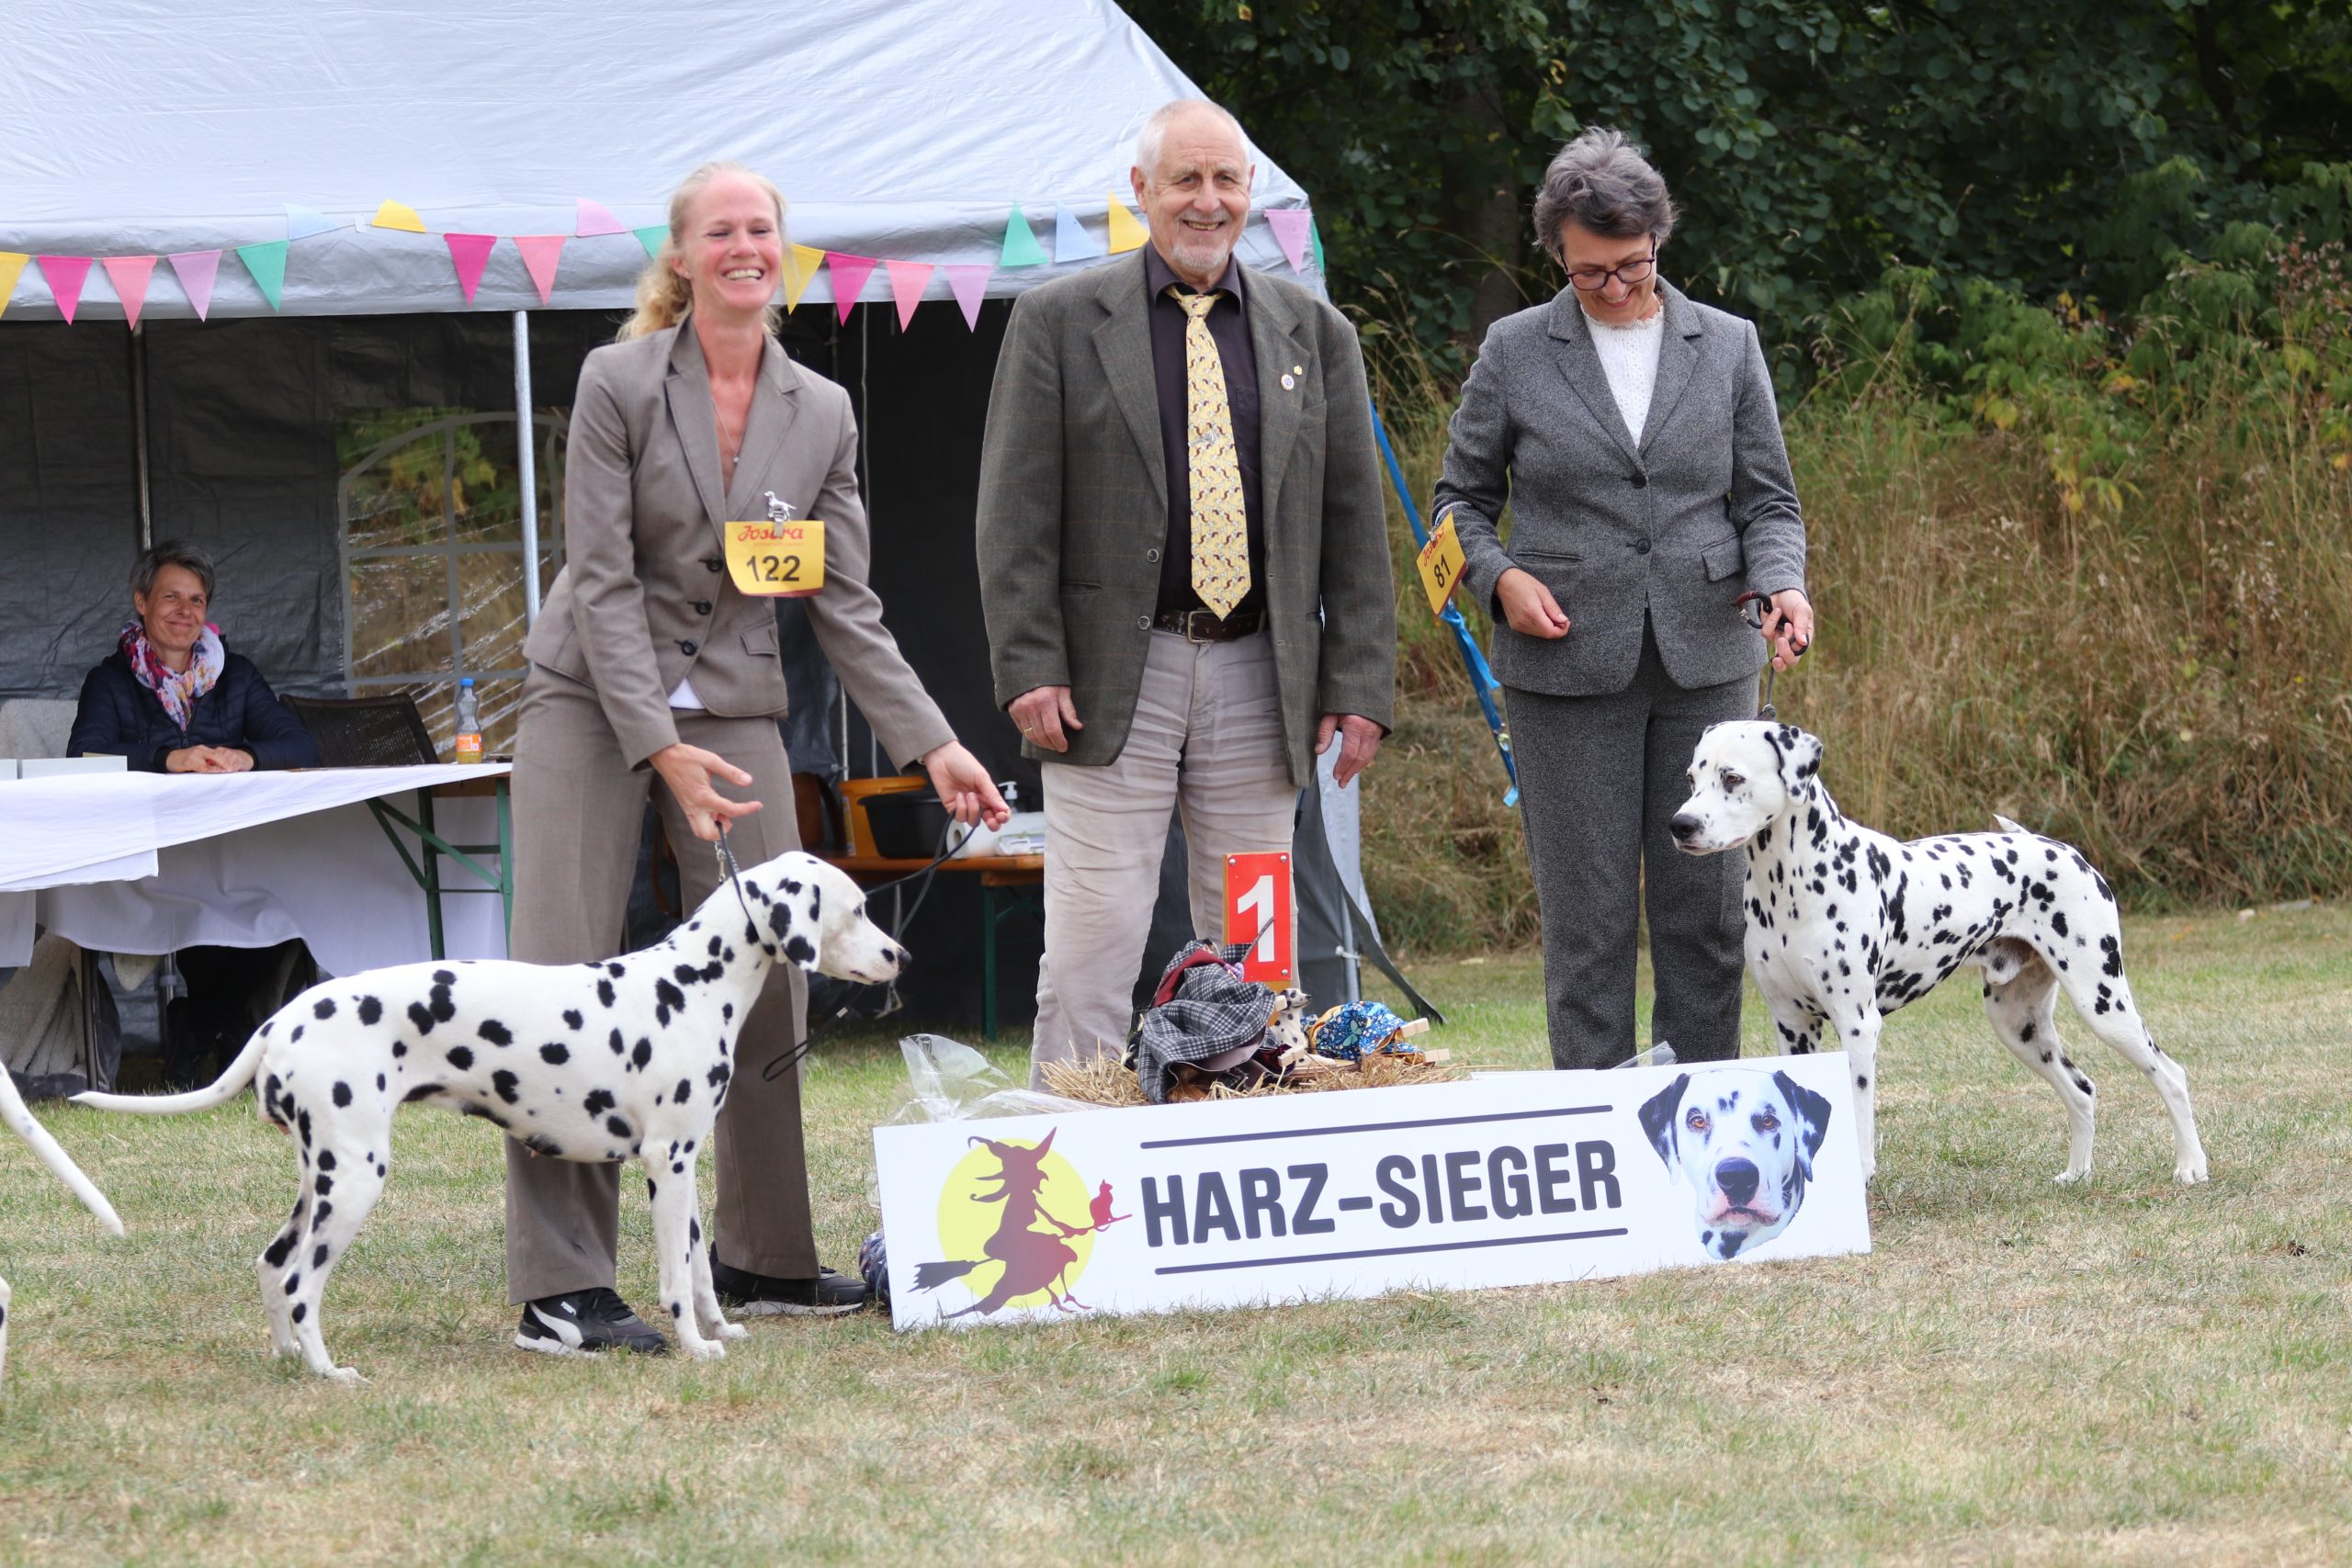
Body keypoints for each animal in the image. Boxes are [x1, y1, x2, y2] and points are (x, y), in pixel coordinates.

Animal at [75, 851, 903, 1381]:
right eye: (857, 907)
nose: (902, 954)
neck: (691, 982)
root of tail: (284, 1017)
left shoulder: (686, 1165)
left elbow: (699, 1265)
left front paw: (721, 1327)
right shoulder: (666, 1162)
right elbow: (674, 1275)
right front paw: (696, 1348)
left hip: (319, 1180)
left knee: (273, 1266)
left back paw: (285, 1361)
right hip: (356, 1180)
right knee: (303, 1282)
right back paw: (327, 1370)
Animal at [1671, 721, 2208, 1188]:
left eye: (1733, 777)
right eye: (1692, 777)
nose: (1681, 824)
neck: (1789, 883)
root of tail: (2065, 851)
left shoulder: (1857, 1026)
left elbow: (1859, 1118)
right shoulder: (1792, 1024)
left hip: (2103, 1001)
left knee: (2171, 1075)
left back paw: (2190, 1167)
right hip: (2019, 1024)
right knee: (2082, 1091)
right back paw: (2076, 1175)